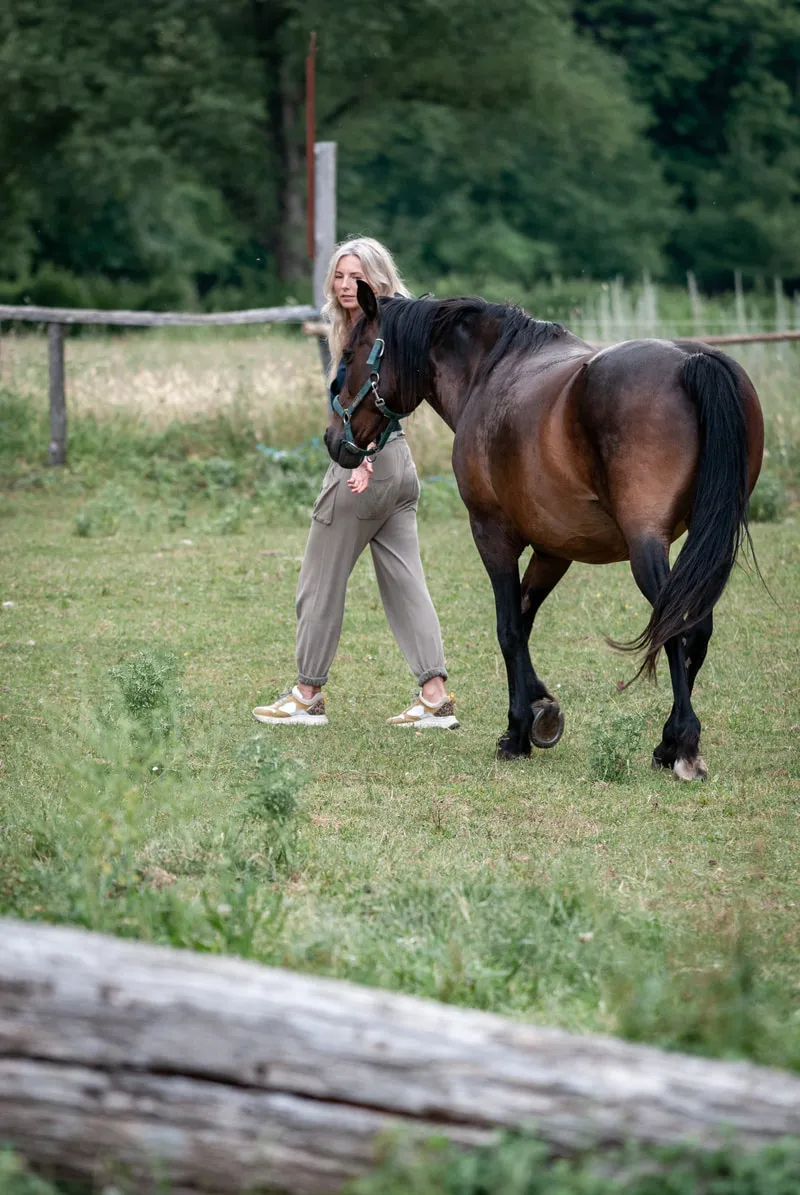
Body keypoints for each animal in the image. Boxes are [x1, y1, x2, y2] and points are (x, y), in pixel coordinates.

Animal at [324, 280, 764, 778]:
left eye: (351, 353)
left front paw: (517, 731)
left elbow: (508, 628)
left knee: (674, 623)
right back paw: (668, 742)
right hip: (709, 544)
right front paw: (542, 709)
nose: (333, 440)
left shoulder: (491, 534)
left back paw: (683, 745)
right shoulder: (556, 549)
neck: (490, 372)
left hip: (647, 547)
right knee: (697, 627)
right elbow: (525, 616)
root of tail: (693, 361)